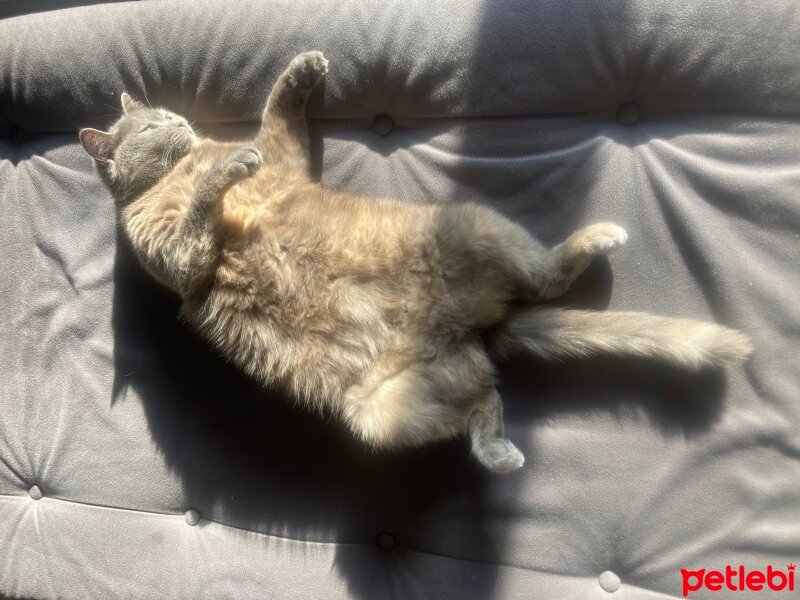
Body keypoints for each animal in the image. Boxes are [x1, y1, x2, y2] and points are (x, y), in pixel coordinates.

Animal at [79, 50, 752, 474]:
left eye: (165, 114)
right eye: (150, 126)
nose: (179, 117)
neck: (174, 171)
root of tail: (470, 331)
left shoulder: (282, 164)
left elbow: (276, 117)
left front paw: (301, 74)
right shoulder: (178, 257)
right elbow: (207, 201)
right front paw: (226, 168)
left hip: (470, 230)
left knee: (533, 300)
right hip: (383, 410)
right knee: (487, 396)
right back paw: (501, 450)